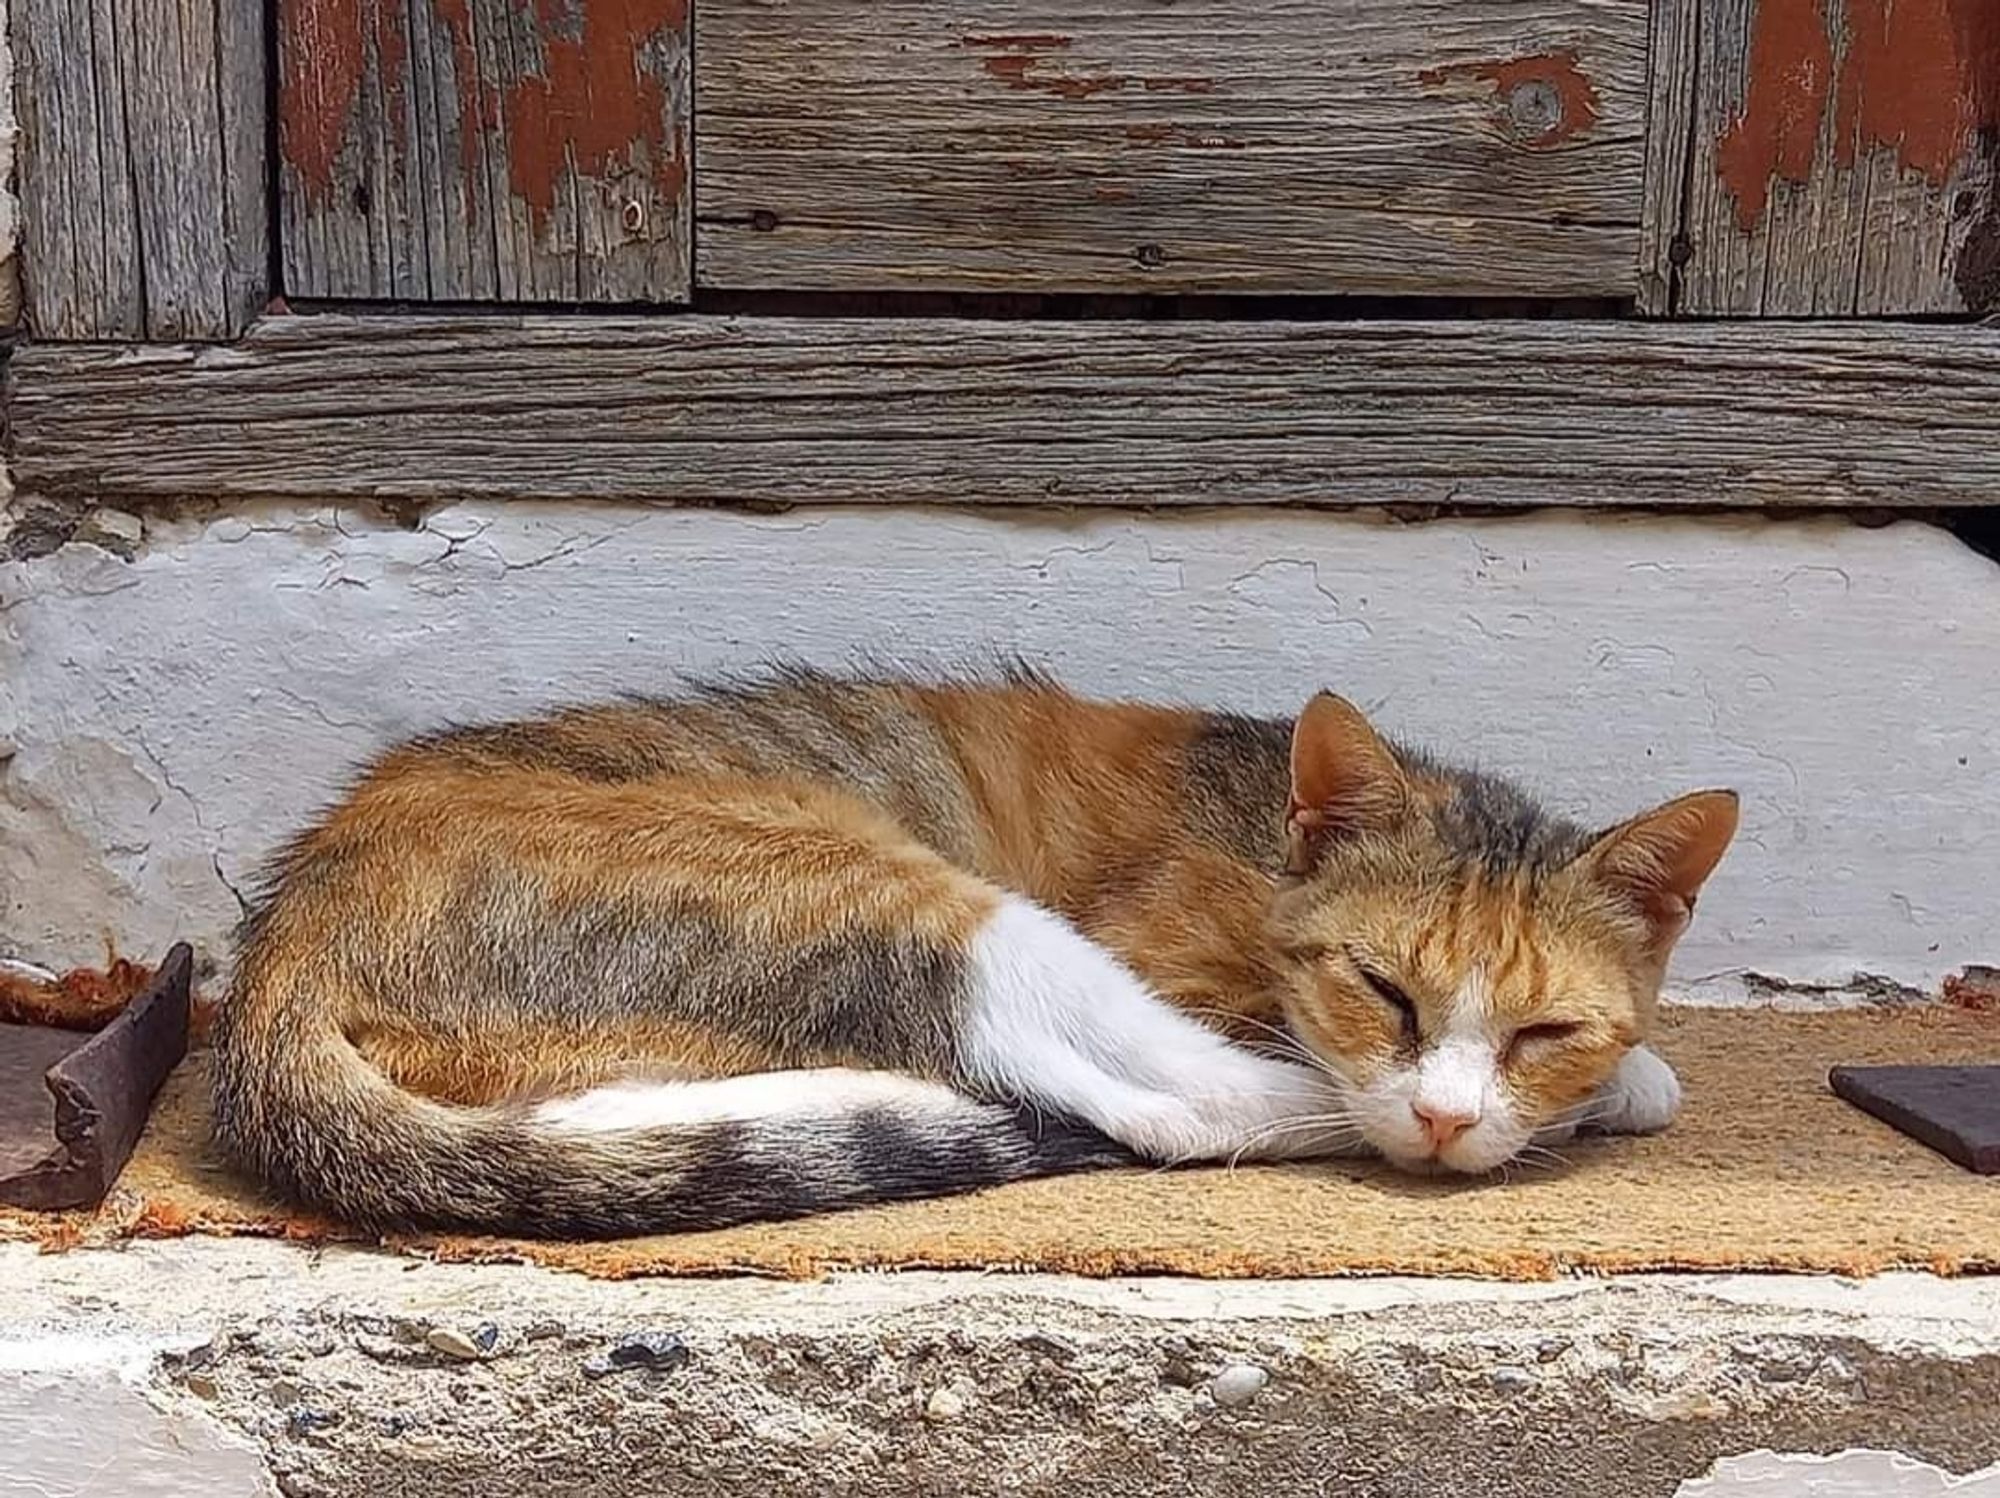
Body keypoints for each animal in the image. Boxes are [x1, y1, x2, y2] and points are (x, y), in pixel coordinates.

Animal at [207, 664, 1736, 1224]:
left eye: (1544, 1025)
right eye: (1381, 988)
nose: (1446, 1117)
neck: (1263, 841)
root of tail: (282, 936)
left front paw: (1601, 1081)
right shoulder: (1167, 959)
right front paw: (1606, 1095)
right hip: (883, 886)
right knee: (1170, 1105)